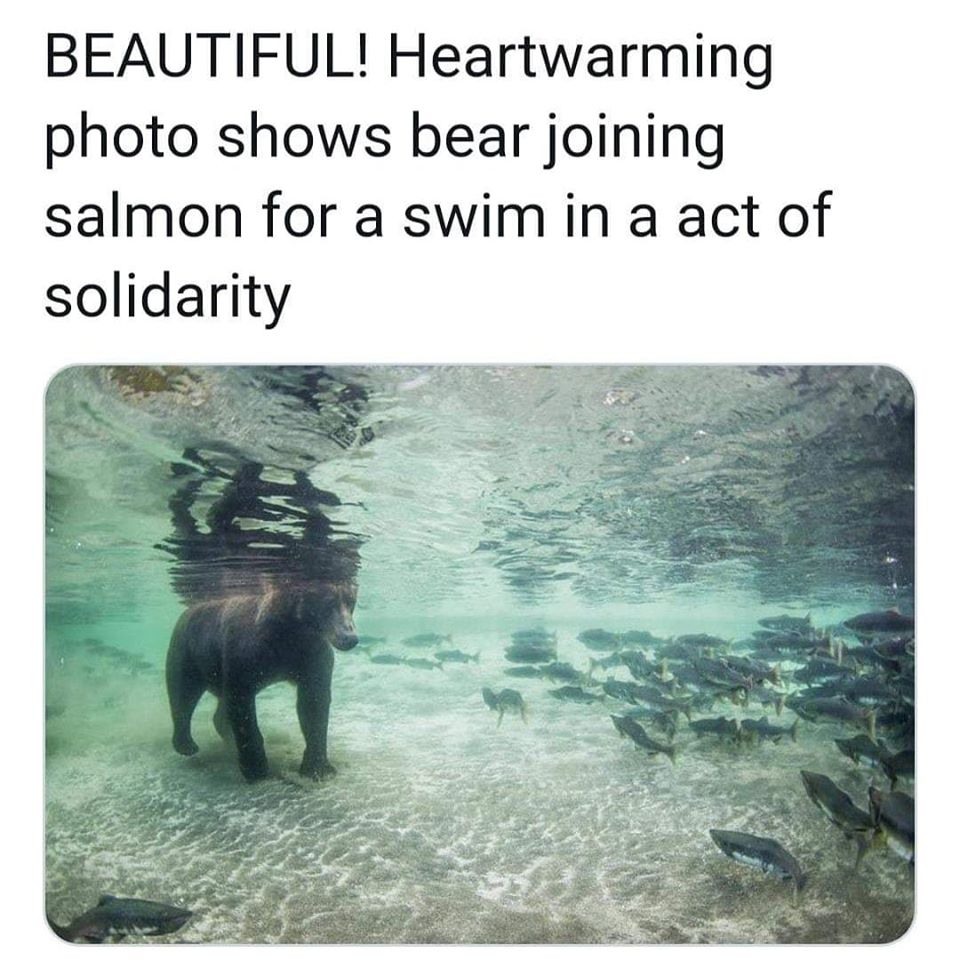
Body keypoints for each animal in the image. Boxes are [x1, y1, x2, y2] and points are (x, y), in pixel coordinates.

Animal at [165, 582, 358, 782]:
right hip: (188, 650)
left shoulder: (312, 655)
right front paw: (256, 767)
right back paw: (186, 744)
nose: (350, 637)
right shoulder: (246, 653)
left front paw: (318, 768)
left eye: (351, 601)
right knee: (182, 691)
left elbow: (314, 703)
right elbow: (242, 705)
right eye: (329, 603)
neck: (289, 633)